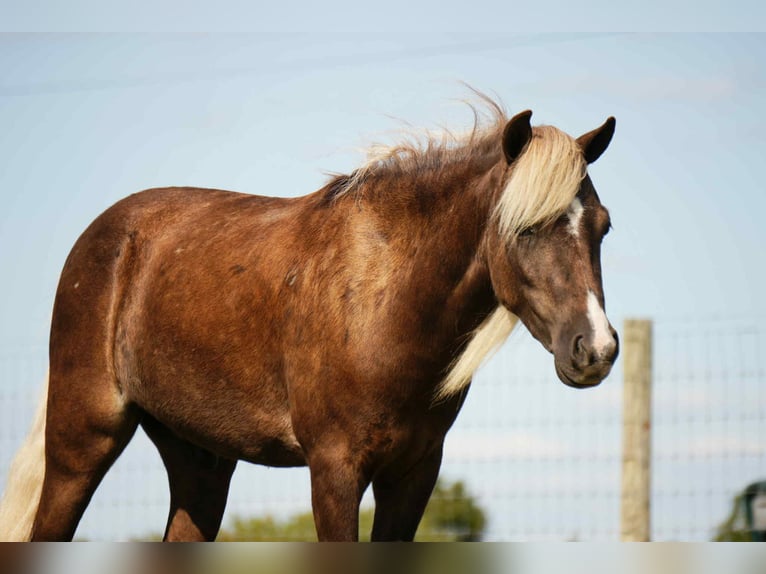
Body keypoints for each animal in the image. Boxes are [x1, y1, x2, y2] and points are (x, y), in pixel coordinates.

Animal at [0, 98, 618, 541]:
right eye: (526, 228)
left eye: (603, 225)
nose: (596, 349)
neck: (386, 303)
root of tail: (105, 236)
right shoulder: (334, 471)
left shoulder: (413, 475)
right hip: (81, 446)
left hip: (200, 463)